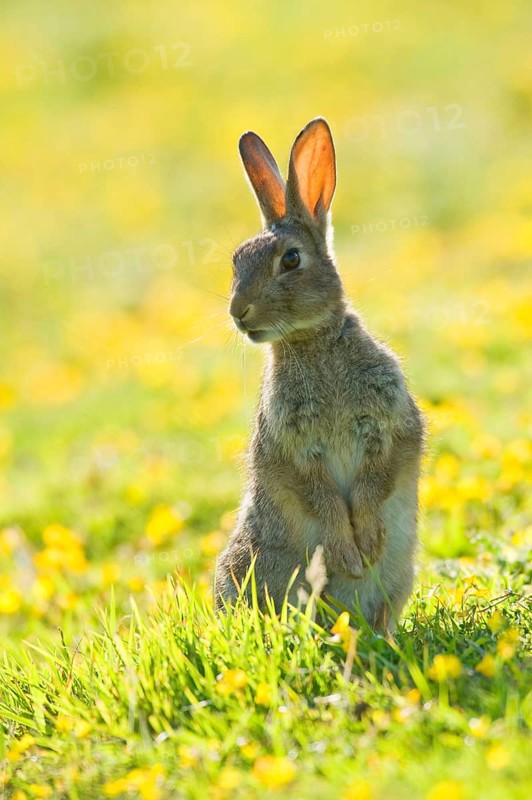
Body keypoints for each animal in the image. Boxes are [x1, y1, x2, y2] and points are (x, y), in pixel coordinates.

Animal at [215, 117, 424, 633]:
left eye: (290, 259)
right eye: (236, 261)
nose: (238, 313)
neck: (312, 343)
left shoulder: (387, 426)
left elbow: (373, 481)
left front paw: (366, 543)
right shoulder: (294, 447)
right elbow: (321, 497)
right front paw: (348, 554)